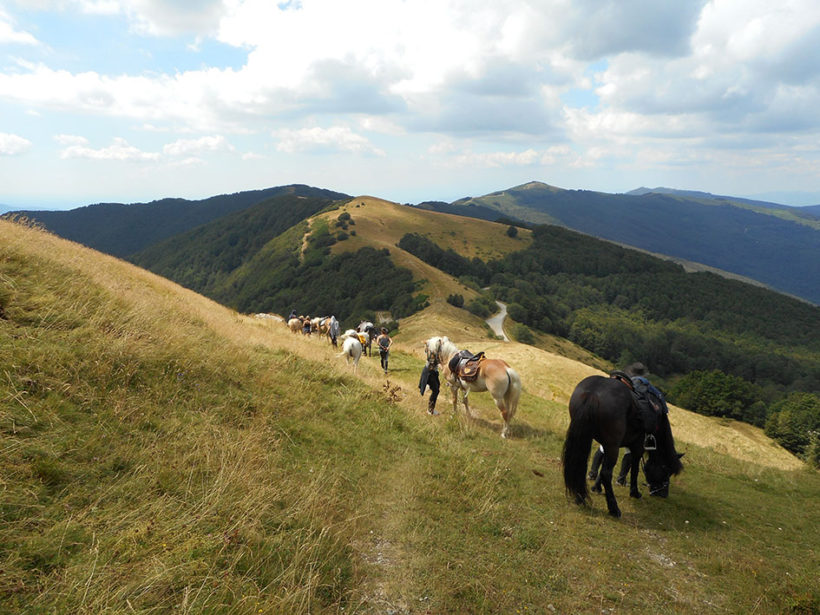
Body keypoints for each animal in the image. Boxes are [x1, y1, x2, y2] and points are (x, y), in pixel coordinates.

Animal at [564, 376, 684, 520]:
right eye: (666, 470)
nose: (663, 494)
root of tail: (593, 393)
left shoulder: (610, 445)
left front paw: (596, 488)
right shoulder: (637, 447)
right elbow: (634, 468)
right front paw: (634, 492)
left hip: (586, 438)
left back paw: (579, 497)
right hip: (612, 446)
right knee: (606, 473)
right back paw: (614, 509)